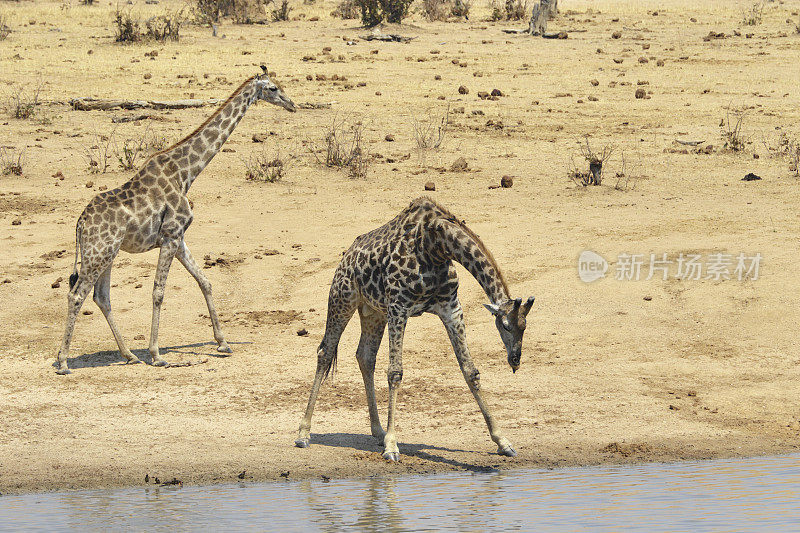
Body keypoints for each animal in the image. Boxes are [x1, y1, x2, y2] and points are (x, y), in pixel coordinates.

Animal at [54, 66, 296, 374]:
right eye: (274, 88)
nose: (293, 104)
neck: (185, 173)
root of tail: (80, 223)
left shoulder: (179, 238)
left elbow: (205, 281)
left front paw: (223, 343)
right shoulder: (170, 235)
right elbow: (158, 292)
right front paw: (157, 354)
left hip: (106, 253)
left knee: (101, 297)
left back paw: (128, 355)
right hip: (99, 253)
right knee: (76, 295)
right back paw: (63, 360)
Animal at [296, 197, 536, 460]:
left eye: (524, 327)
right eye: (504, 325)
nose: (515, 360)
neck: (436, 245)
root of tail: (346, 256)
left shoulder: (451, 307)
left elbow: (470, 371)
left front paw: (503, 441)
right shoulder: (399, 307)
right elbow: (395, 372)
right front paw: (392, 446)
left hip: (374, 312)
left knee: (365, 356)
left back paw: (377, 431)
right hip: (343, 299)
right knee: (325, 352)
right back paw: (304, 433)